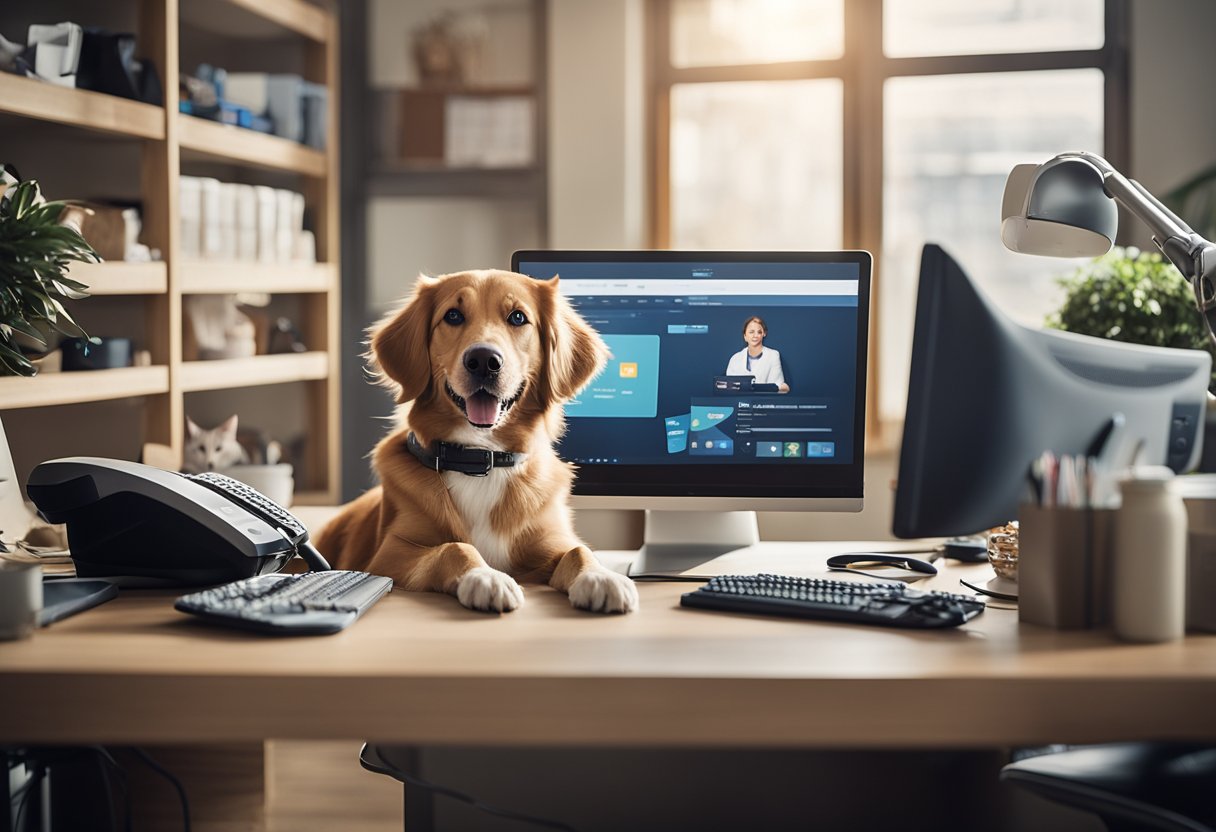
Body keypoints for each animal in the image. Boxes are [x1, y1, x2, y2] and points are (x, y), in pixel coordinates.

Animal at [313, 270, 642, 613]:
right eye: (453, 316)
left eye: (518, 317)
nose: (483, 360)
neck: (482, 455)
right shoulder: (389, 554)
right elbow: (454, 547)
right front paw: (487, 577)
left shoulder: (551, 541)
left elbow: (579, 550)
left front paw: (601, 577)